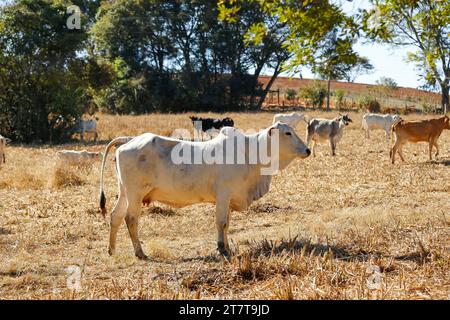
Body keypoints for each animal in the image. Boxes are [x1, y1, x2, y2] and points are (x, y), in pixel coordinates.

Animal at [98, 122, 310, 260]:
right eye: (288, 133)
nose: (308, 150)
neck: (251, 153)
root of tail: (128, 140)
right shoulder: (223, 194)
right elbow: (221, 222)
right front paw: (222, 249)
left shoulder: (229, 199)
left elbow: (227, 224)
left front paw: (227, 246)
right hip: (135, 194)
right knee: (131, 219)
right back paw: (140, 252)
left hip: (125, 192)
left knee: (116, 216)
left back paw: (111, 250)